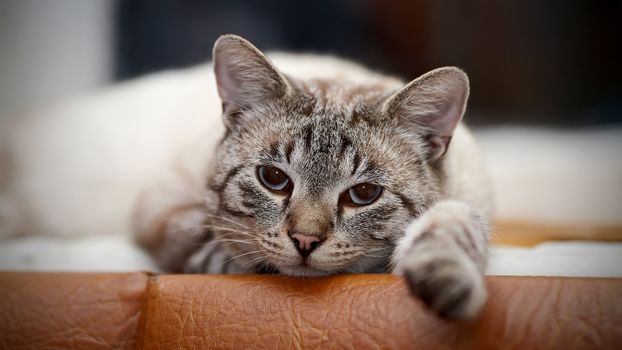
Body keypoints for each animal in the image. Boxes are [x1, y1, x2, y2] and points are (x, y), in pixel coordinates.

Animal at [0, 34, 492, 320]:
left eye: (364, 194)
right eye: (273, 179)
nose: (306, 241)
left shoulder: (467, 204)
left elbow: (452, 232)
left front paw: (445, 283)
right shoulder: (165, 211)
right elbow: (222, 253)